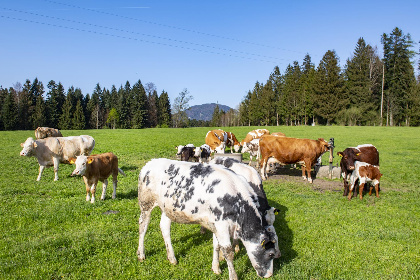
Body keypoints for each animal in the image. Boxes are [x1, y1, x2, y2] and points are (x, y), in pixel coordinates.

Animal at [136, 159, 278, 278]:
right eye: (271, 254)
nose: (270, 275)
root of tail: (150, 162)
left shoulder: (215, 224)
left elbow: (216, 246)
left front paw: (216, 267)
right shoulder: (221, 225)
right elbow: (228, 252)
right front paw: (233, 276)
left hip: (168, 208)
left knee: (164, 226)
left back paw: (171, 257)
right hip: (145, 203)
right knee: (143, 226)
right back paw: (141, 253)